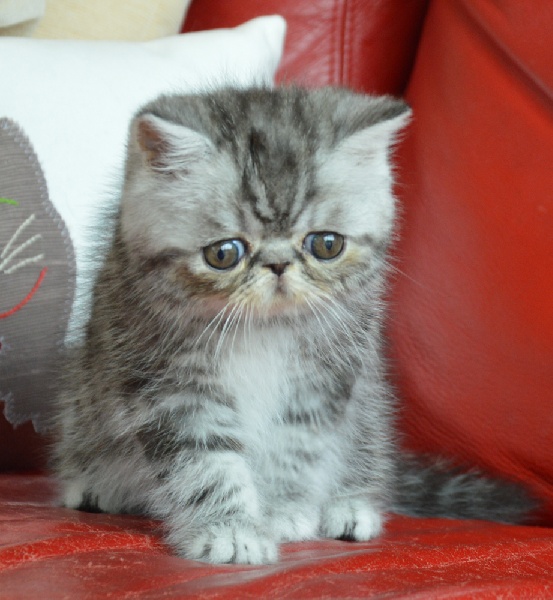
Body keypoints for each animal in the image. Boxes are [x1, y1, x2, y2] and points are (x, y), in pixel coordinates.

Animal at [52, 86, 536, 564]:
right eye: (224, 253)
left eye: (326, 244)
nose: (279, 264)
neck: (263, 329)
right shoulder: (166, 379)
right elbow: (205, 460)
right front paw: (231, 530)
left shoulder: (327, 379)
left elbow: (295, 448)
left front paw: (281, 512)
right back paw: (98, 487)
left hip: (369, 405)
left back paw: (350, 505)